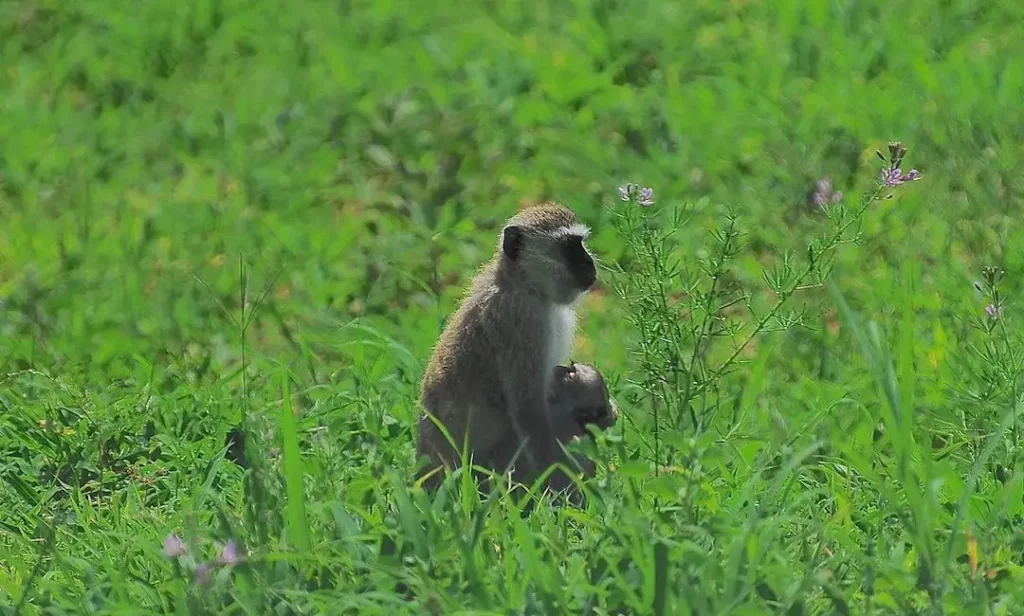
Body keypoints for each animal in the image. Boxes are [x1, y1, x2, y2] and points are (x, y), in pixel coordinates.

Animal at [417, 201, 598, 493]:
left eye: (580, 243)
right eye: (569, 246)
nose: (589, 262)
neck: (522, 283)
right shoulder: (522, 318)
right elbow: (528, 407)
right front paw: (555, 480)